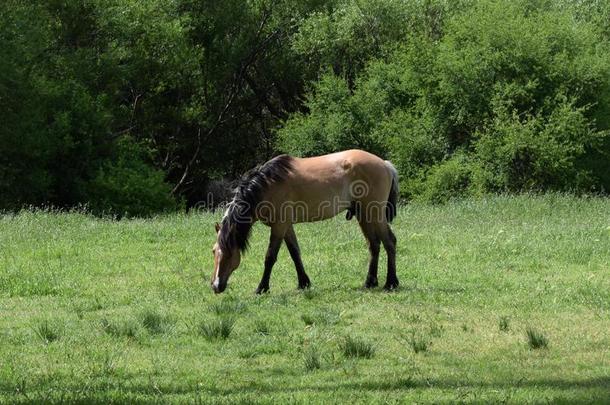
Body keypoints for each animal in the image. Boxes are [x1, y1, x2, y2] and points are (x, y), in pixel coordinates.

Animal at [210, 148, 400, 294]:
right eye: (214, 251)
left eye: (229, 252)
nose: (215, 286)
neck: (266, 185)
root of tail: (385, 164)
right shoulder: (286, 226)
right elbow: (295, 253)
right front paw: (304, 283)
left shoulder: (279, 226)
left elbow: (270, 257)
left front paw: (262, 288)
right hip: (364, 215)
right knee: (374, 245)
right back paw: (370, 282)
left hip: (375, 213)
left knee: (389, 242)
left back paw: (391, 283)